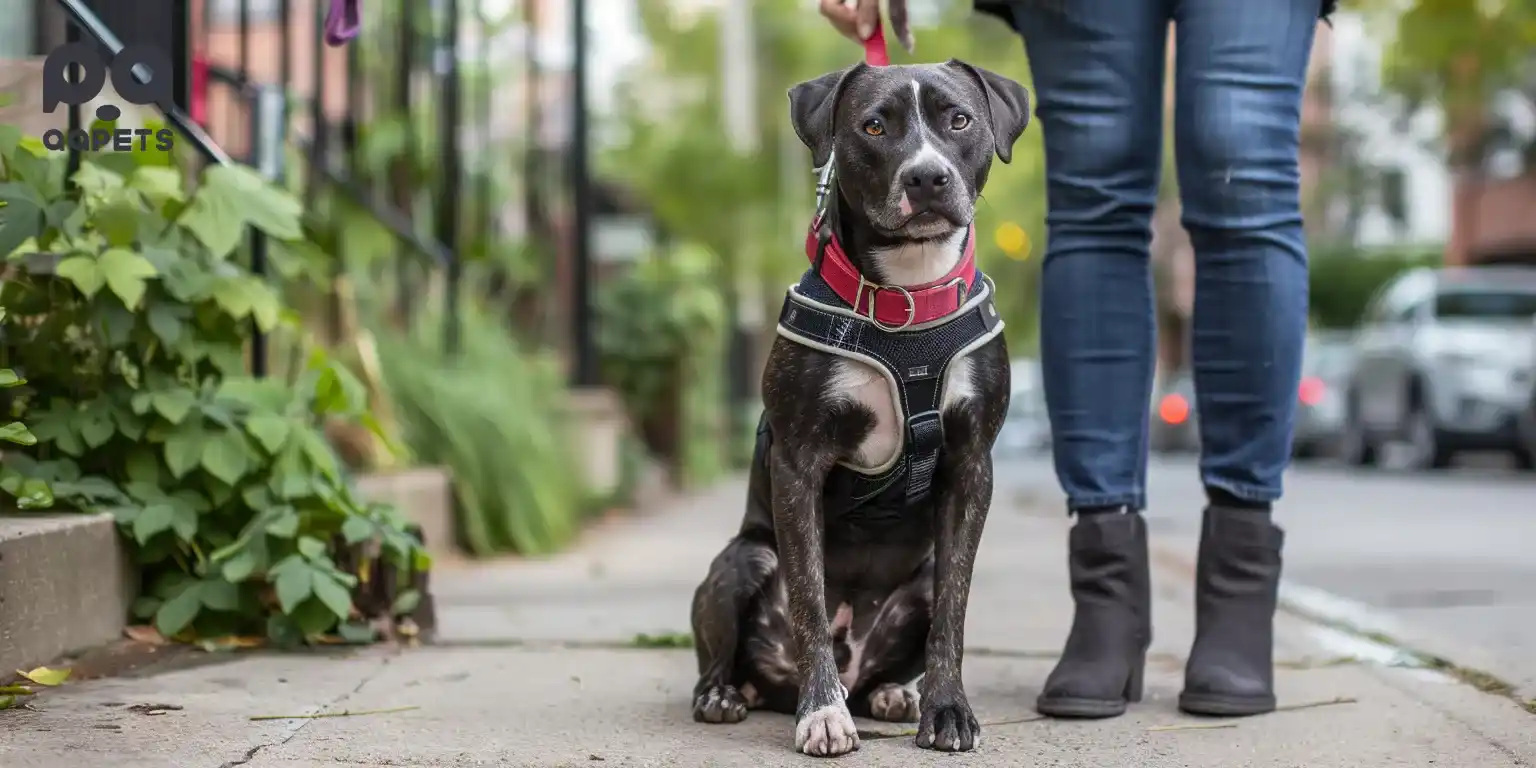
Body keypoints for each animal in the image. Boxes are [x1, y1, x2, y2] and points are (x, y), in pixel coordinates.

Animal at [688, 59, 1026, 755]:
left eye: (960, 119)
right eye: (874, 126)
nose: (927, 176)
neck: (906, 296)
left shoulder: (971, 466)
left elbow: (954, 609)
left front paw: (948, 710)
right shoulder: (798, 464)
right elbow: (809, 600)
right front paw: (823, 715)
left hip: (914, 581)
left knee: (902, 644)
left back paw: (892, 693)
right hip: (744, 559)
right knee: (726, 653)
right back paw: (729, 695)